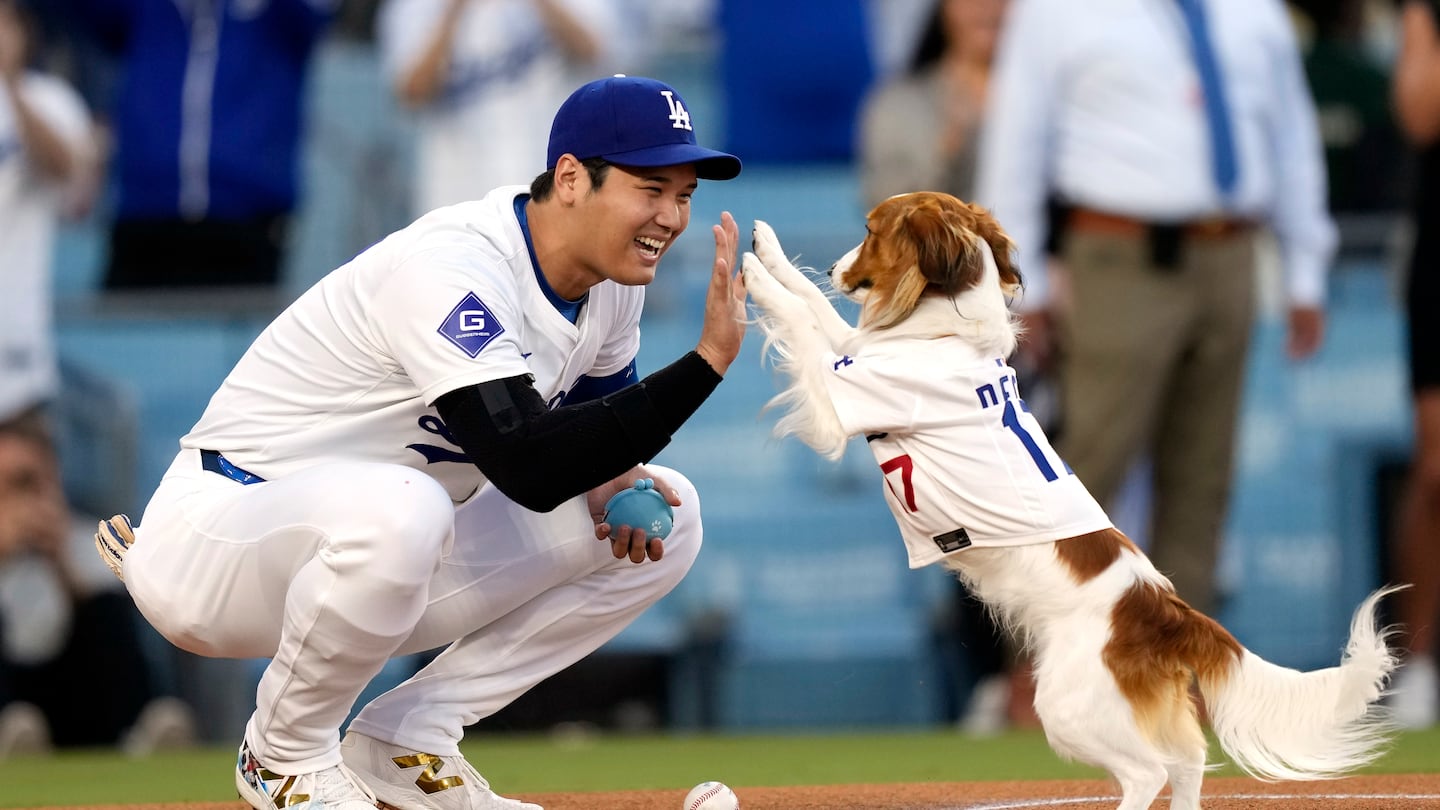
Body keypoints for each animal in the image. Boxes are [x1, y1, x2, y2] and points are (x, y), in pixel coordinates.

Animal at [743, 190, 1393, 807]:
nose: (837, 264)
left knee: (1149, 773)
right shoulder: (855, 354)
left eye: (871, 231)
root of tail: (1164, 609)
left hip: (1068, 707)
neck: (946, 332)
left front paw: (751, 273)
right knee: (1187, 766)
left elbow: (802, 318)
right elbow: (815, 304)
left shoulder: (840, 401)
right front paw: (769, 252)